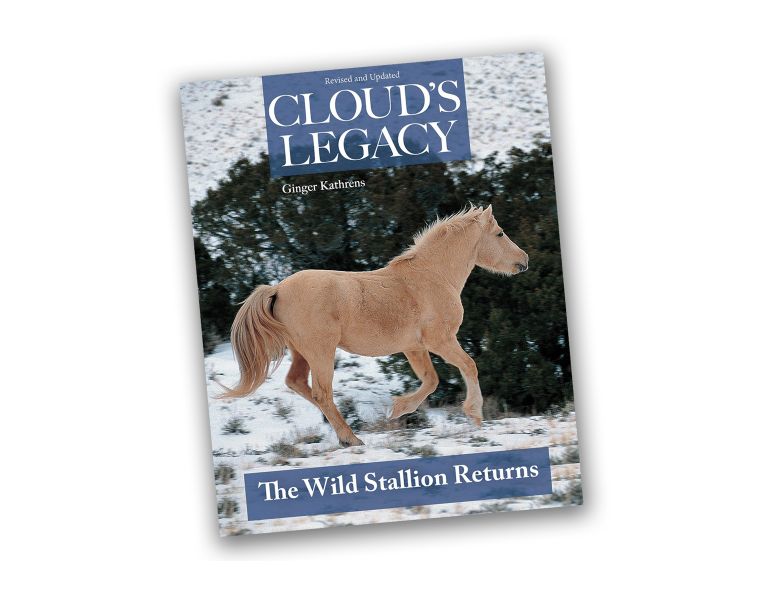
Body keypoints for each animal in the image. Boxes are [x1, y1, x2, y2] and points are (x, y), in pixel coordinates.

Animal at [222, 205, 529, 446]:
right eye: (500, 233)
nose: (524, 260)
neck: (433, 276)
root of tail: (278, 289)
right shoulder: (440, 341)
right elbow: (468, 366)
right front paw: (474, 415)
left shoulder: (414, 347)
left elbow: (431, 380)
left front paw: (398, 409)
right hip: (321, 351)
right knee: (322, 393)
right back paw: (351, 439)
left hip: (301, 352)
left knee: (297, 383)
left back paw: (345, 434)